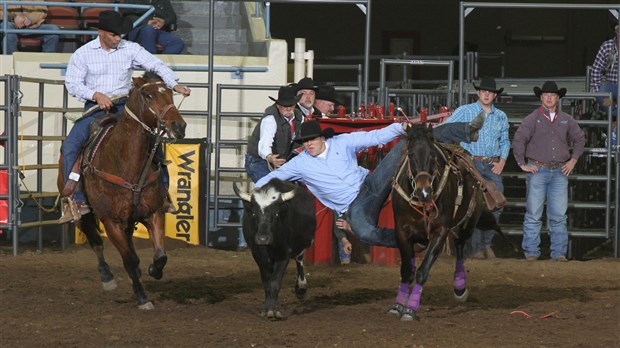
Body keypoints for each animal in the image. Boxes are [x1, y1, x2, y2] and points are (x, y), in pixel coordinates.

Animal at [58, 71, 186, 310]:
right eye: (149, 95)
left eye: (170, 92)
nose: (179, 126)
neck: (125, 163)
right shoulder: (111, 222)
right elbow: (129, 259)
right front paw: (143, 298)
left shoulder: (153, 213)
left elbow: (160, 255)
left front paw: (153, 271)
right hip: (83, 215)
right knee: (96, 242)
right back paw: (107, 277)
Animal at [390, 124, 502, 320]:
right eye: (410, 154)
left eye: (433, 155)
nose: (424, 191)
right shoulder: (401, 232)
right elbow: (406, 270)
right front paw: (398, 305)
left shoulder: (441, 231)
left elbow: (422, 271)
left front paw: (410, 309)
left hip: (467, 225)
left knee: (459, 248)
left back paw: (460, 286)